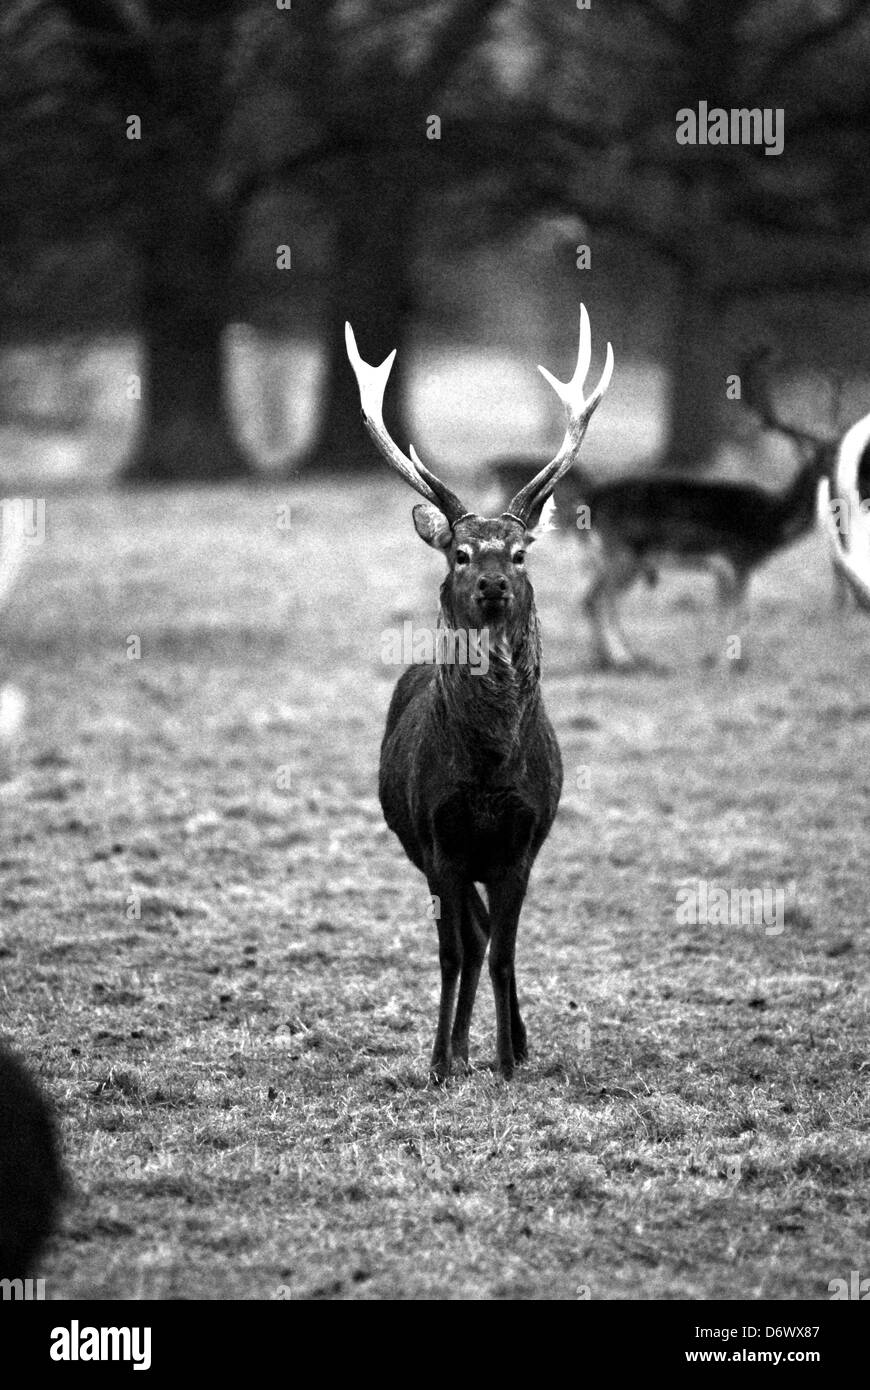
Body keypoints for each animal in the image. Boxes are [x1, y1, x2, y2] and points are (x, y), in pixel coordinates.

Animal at [341, 309, 614, 1078]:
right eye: (460, 554)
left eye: (519, 554)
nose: (492, 583)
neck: (490, 773)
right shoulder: (440, 840)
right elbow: (454, 953)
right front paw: (442, 1060)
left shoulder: (522, 842)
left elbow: (502, 954)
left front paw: (508, 1060)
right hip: (423, 850)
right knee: (471, 934)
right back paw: (462, 1047)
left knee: (491, 937)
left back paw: (509, 1041)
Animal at [491, 353, 828, 667]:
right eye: (822, 460)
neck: (773, 523)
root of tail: (588, 503)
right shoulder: (736, 557)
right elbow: (738, 611)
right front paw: (725, 662)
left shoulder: (726, 567)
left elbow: (728, 610)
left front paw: (719, 658)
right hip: (624, 556)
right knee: (596, 599)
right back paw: (623, 658)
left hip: (616, 560)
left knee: (593, 599)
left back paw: (612, 657)